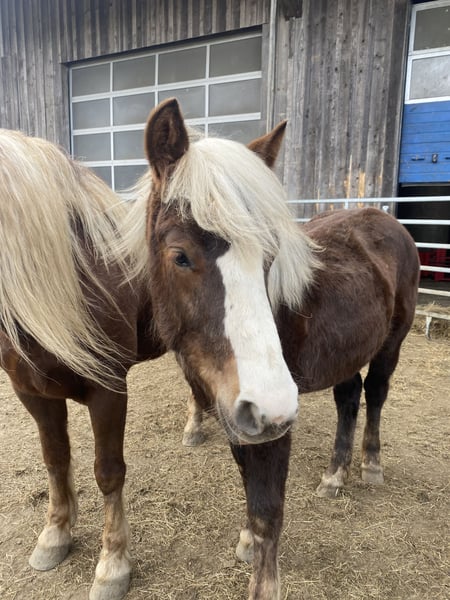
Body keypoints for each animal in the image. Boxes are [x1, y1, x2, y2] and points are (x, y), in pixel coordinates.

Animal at [0, 129, 166, 600]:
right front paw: (55, 535)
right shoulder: (31, 392)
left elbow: (108, 473)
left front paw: (112, 565)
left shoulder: (109, 390)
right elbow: (55, 459)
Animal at [143, 98, 420, 599]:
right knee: (349, 399)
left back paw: (370, 466)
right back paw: (334, 475)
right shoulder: (236, 408)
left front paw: (262, 571)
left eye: (270, 257)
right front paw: (245, 541)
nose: (270, 404)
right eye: (180, 256)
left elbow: (267, 509)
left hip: (392, 344)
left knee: (376, 395)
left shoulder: (271, 420)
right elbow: (246, 479)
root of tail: (390, 222)